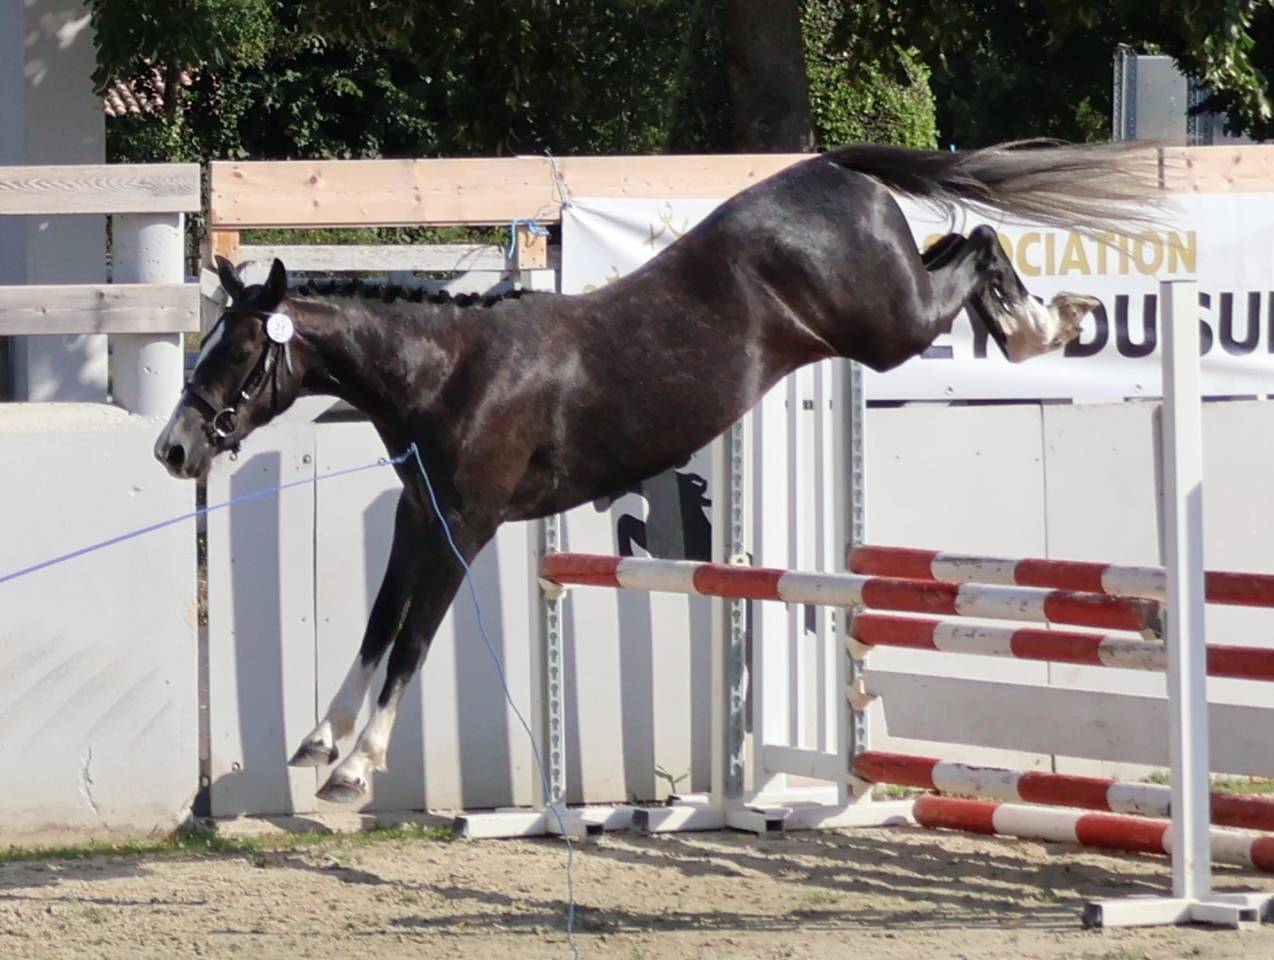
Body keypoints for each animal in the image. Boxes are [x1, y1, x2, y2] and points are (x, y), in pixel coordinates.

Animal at [155, 141, 1160, 802]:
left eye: (234, 352)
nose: (174, 449)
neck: (449, 374)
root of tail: (834, 170)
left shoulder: (464, 529)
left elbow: (411, 640)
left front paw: (357, 768)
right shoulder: (419, 517)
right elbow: (377, 624)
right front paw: (320, 742)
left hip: (891, 326)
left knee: (981, 243)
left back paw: (1046, 326)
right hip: (890, 316)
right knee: (966, 245)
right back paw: (1040, 322)